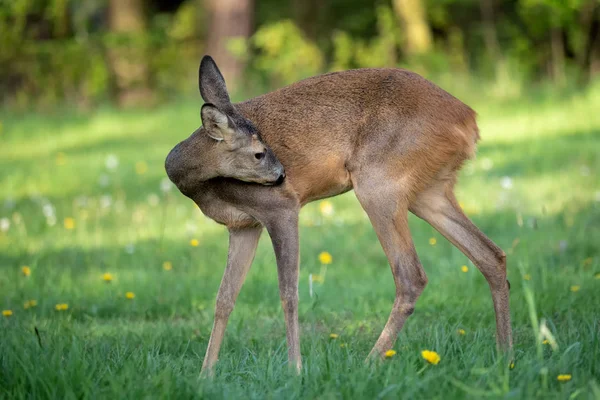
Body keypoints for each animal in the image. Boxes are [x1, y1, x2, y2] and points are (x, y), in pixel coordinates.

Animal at [166, 55, 512, 376]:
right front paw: (205, 374)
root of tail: (469, 120)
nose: (282, 175)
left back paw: (368, 362)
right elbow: (224, 298)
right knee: (490, 254)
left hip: (379, 183)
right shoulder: (243, 225)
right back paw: (504, 355)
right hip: (429, 191)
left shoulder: (281, 207)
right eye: (258, 153)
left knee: (411, 275)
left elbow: (288, 293)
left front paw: (295, 369)